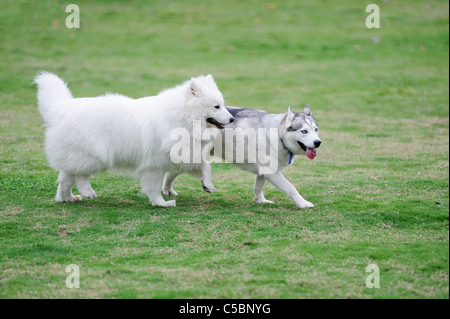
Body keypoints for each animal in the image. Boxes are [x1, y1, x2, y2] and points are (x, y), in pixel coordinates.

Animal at [33, 72, 234, 208]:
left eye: (223, 105)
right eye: (217, 107)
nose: (232, 119)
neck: (182, 117)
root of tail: (60, 109)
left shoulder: (184, 154)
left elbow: (205, 167)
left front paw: (208, 185)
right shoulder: (154, 166)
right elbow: (154, 188)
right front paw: (161, 203)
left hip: (76, 158)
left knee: (65, 180)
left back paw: (67, 198)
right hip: (96, 156)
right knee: (80, 176)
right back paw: (87, 191)